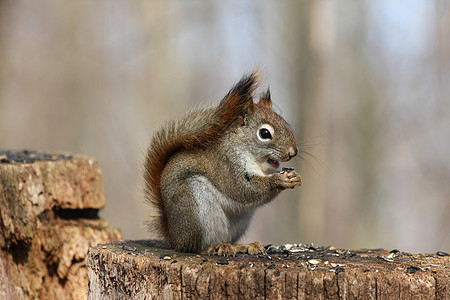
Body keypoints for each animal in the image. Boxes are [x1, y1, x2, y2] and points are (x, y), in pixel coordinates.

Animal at [144, 71, 302, 255]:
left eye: (286, 123)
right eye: (264, 133)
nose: (292, 152)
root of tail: (174, 237)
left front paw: (295, 178)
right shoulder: (226, 164)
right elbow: (241, 189)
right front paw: (278, 180)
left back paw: (242, 245)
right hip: (194, 208)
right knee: (194, 247)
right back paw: (211, 248)